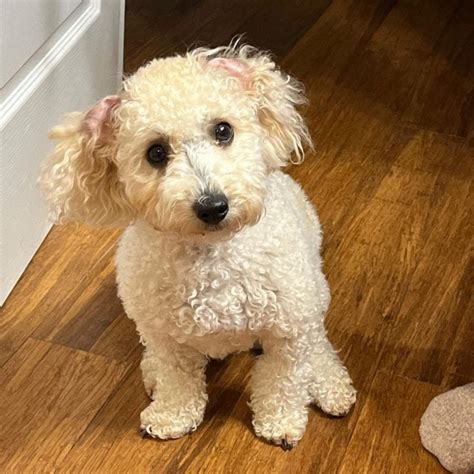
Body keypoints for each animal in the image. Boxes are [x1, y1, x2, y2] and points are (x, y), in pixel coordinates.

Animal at [40, 43, 356, 448]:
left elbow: (280, 382)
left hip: (313, 298)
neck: (211, 260)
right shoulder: (167, 339)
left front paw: (281, 422)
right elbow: (179, 382)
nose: (213, 206)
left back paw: (331, 386)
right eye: (156, 153)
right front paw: (170, 416)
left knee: (318, 347)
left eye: (223, 130)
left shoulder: (287, 331)